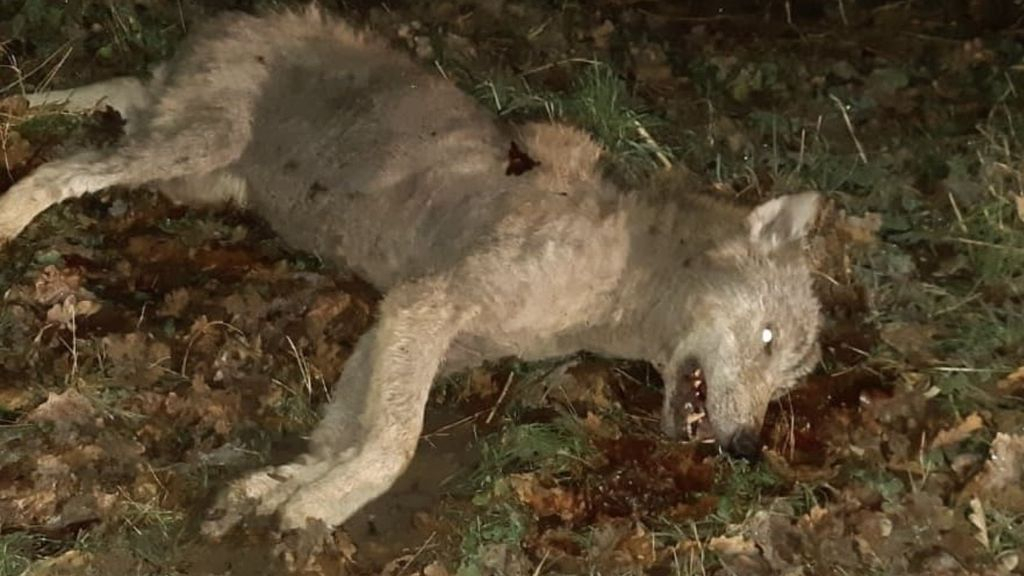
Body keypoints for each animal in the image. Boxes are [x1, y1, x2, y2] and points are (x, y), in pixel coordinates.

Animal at [0, 6, 823, 535]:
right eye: (768, 338)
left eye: (788, 380)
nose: (747, 448)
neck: (619, 282)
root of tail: (234, 19)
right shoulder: (426, 307)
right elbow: (394, 442)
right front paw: (318, 508)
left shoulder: (402, 324)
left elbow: (344, 435)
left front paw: (277, 492)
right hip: (192, 151)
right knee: (65, 167)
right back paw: (10, 209)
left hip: (195, 170)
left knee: (121, 93)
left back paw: (21, 100)